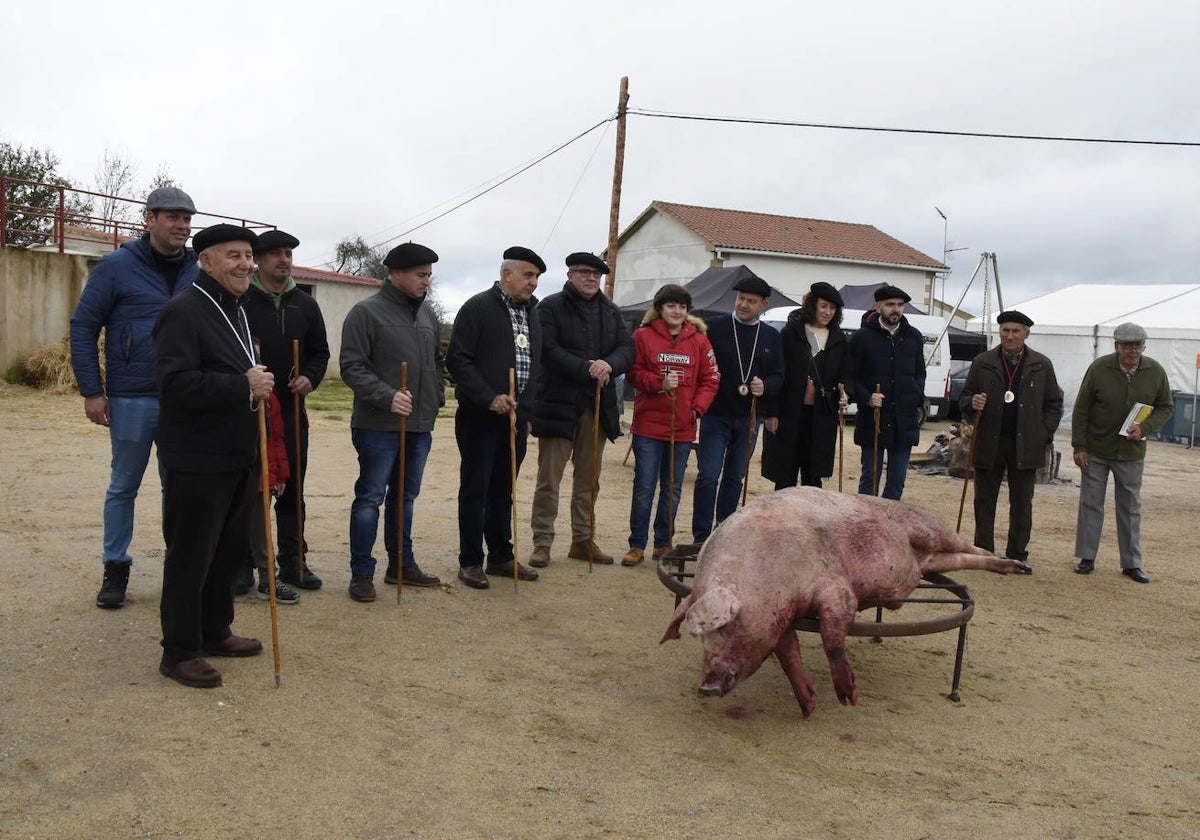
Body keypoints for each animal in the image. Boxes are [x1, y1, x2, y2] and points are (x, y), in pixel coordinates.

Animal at [662, 489, 1017, 720]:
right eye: (701, 639)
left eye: (724, 628)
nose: (705, 686)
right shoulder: (780, 618)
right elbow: (788, 654)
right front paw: (808, 706)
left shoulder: (835, 584)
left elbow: (832, 636)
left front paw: (849, 699)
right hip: (931, 560)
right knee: (959, 558)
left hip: (929, 527)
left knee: (969, 546)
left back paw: (1017, 566)